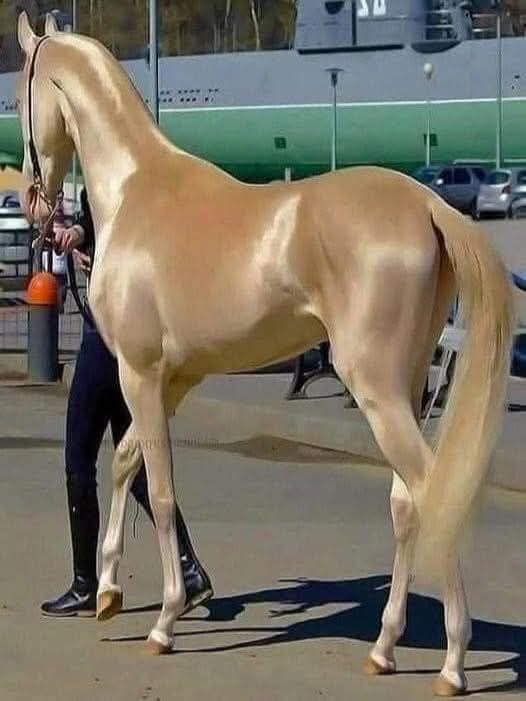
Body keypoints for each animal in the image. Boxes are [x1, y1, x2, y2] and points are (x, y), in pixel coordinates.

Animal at [15, 11, 513, 697]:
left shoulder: (139, 375)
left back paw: (453, 663)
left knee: (434, 492)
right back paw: (384, 648)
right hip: (406, 389)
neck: (138, 191)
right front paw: (111, 591)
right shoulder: (173, 381)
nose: (32, 201)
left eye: (19, 95)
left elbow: (160, 490)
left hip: (377, 392)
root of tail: (428, 204)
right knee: (406, 505)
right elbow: (124, 463)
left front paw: (164, 621)